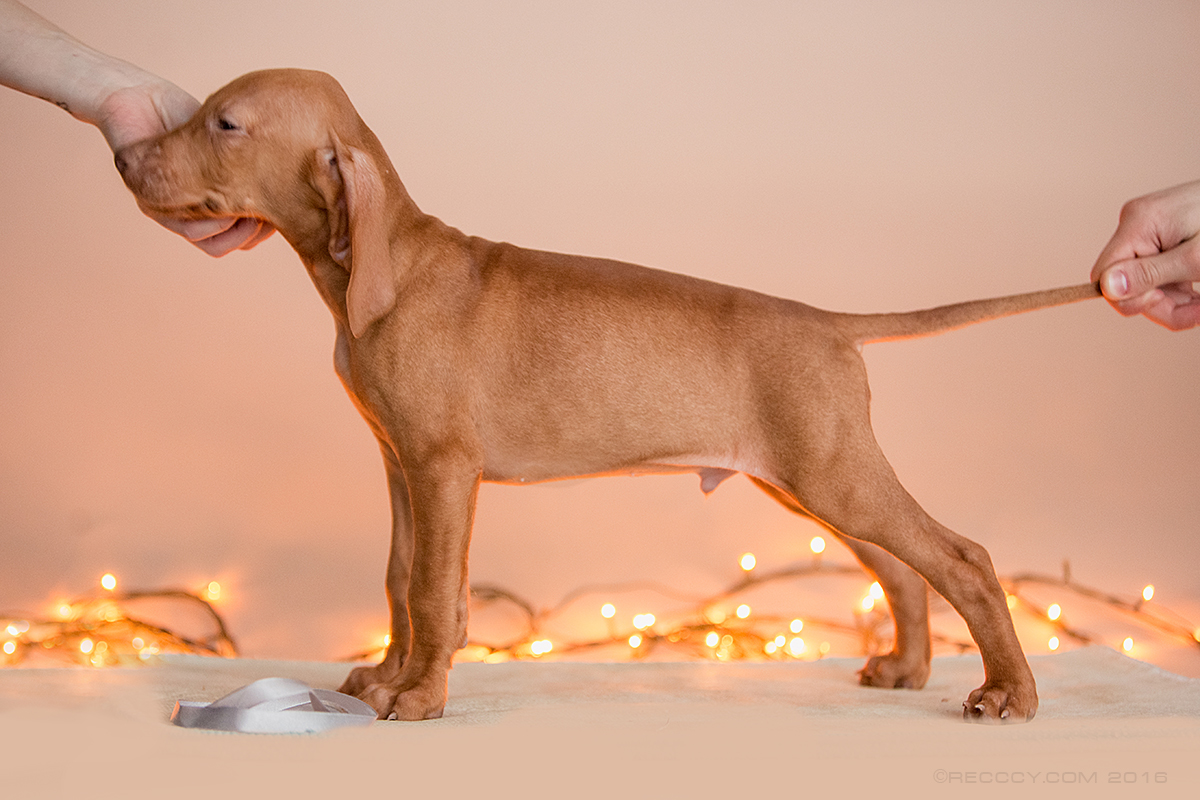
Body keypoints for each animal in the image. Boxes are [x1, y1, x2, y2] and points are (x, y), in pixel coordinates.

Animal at [117, 68, 1099, 724]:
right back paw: (904, 669)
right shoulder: (400, 464)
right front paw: (388, 679)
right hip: (808, 478)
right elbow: (399, 579)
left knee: (961, 558)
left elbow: (433, 589)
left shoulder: (443, 469)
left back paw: (1008, 693)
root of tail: (828, 322)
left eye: (225, 122)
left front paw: (420, 696)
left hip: (833, 474)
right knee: (900, 568)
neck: (384, 263)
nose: (125, 157)